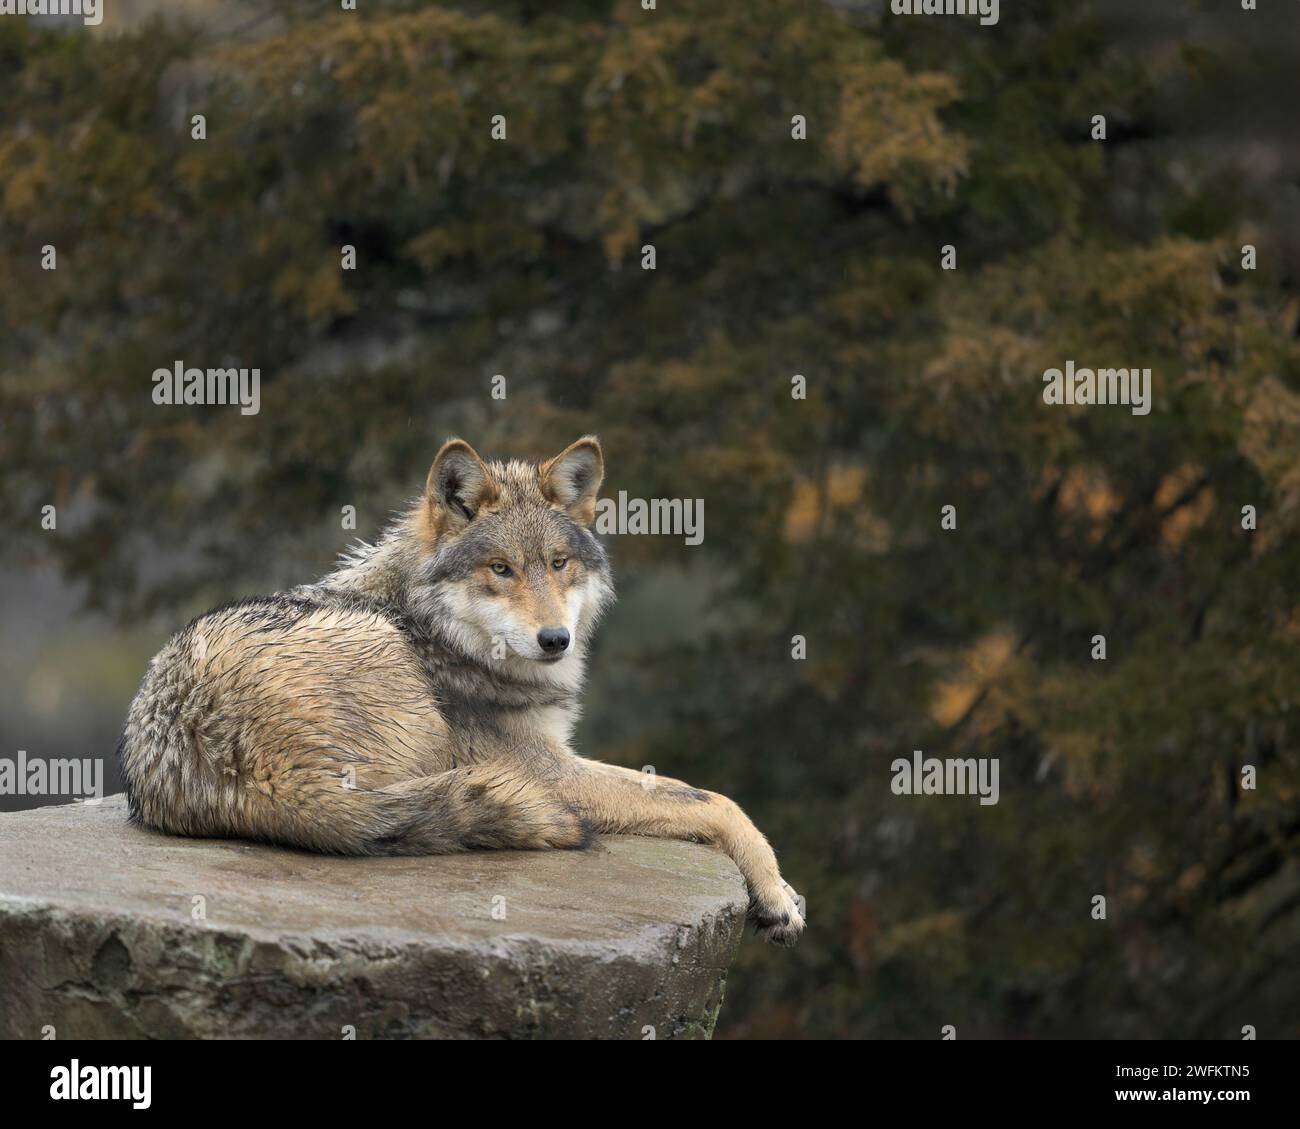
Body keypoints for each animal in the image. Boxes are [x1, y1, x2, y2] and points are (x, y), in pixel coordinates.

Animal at [118, 437, 805, 945]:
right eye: (500, 569)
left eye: (558, 564)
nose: (555, 639)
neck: (433, 627)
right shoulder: (549, 769)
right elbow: (715, 801)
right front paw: (777, 896)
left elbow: (701, 796)